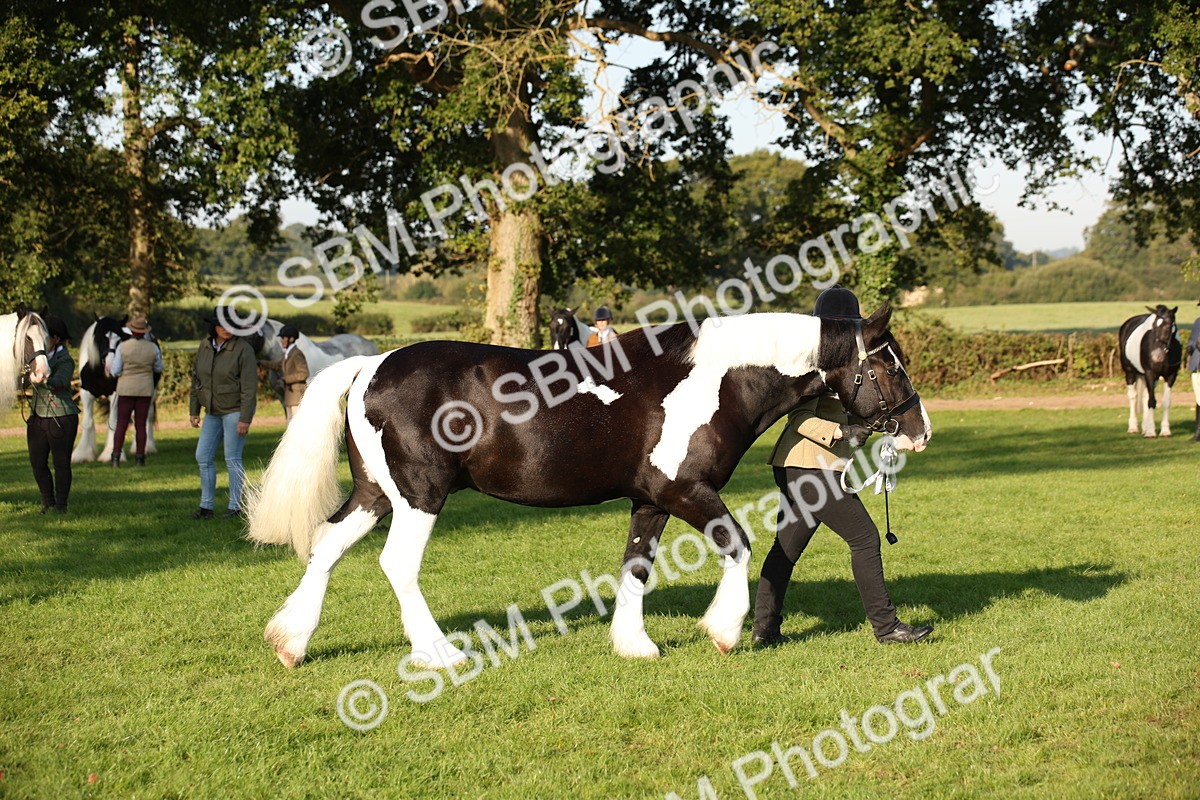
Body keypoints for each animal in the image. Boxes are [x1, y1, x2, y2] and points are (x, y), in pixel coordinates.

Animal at [247, 305, 931, 669]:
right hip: (419, 495)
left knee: (327, 545)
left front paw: (635, 645)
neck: (714, 381)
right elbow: (737, 544)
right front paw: (723, 631)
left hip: (376, 494)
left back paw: (289, 642)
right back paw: (439, 653)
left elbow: (635, 567)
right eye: (889, 365)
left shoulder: (650, 501)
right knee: (397, 564)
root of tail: (372, 363)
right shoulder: (686, 492)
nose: (919, 430)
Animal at [1119, 304, 1182, 438]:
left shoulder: (1171, 376)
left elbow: (1165, 402)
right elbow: (1152, 401)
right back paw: (1133, 427)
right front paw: (1151, 432)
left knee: (1144, 396)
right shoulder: (1150, 373)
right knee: (1133, 396)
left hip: (1148, 377)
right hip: (1130, 372)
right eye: (1153, 327)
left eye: (1168, 326)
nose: (1156, 356)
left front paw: (1165, 431)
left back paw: (1145, 427)